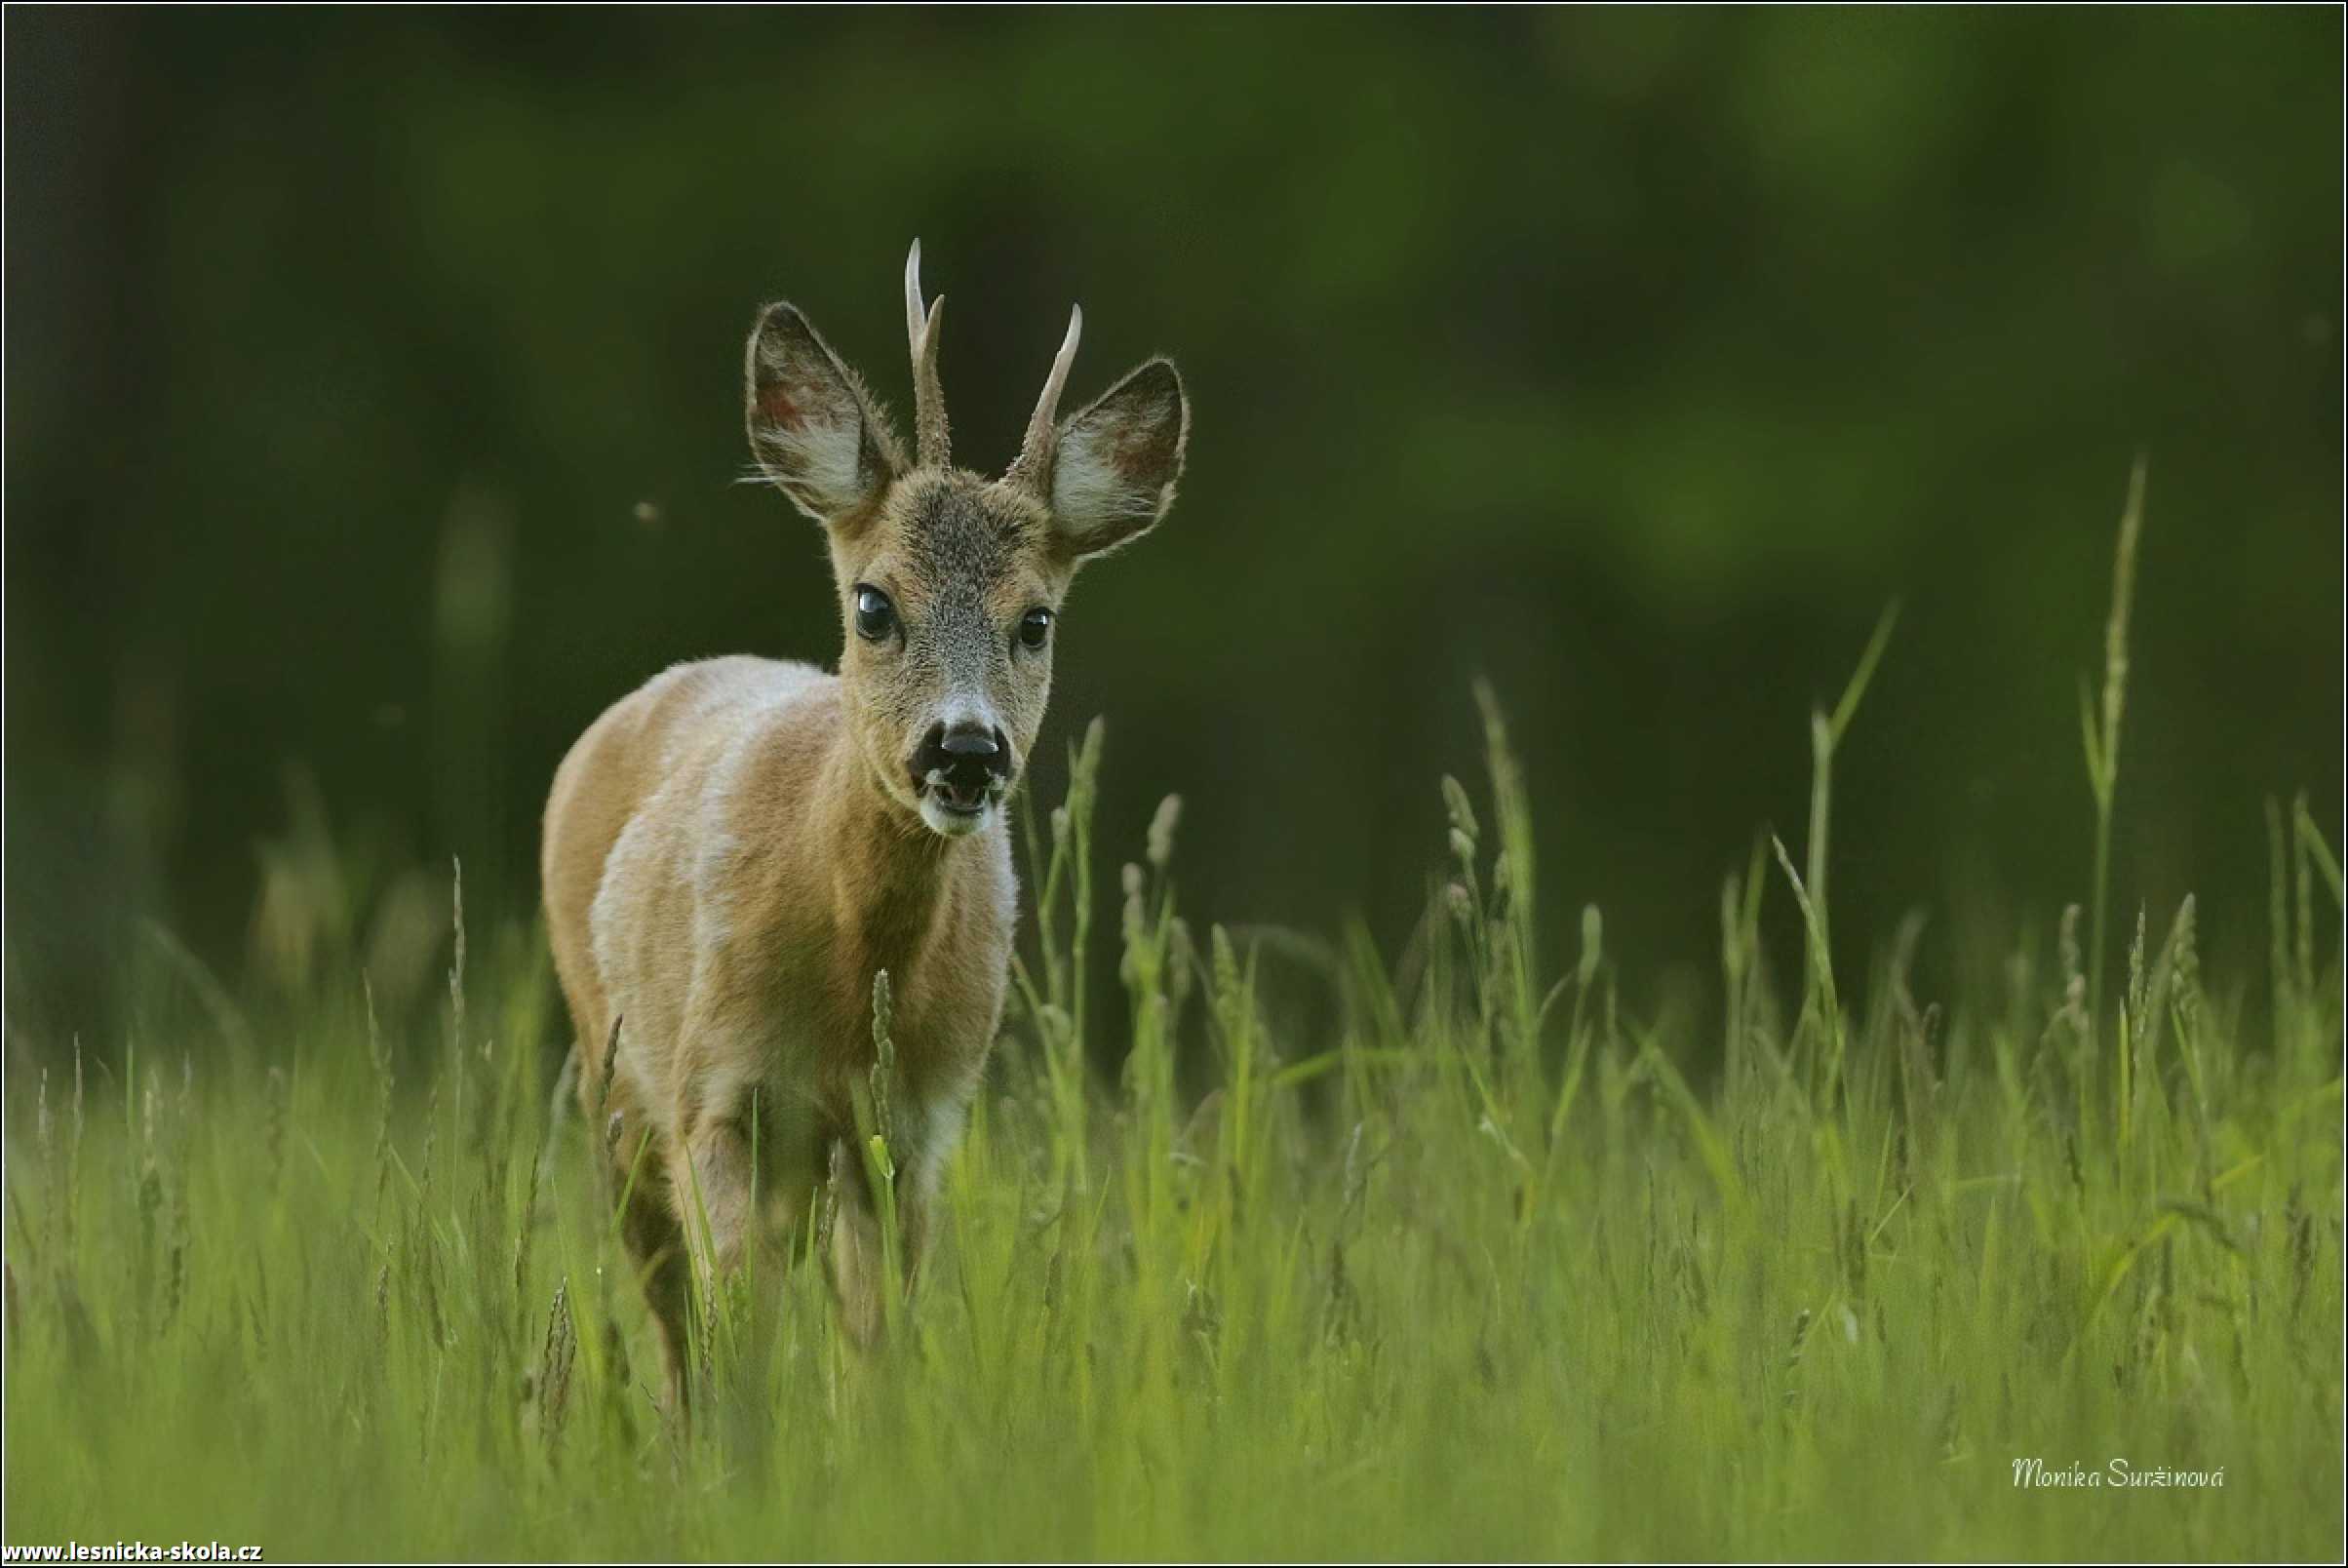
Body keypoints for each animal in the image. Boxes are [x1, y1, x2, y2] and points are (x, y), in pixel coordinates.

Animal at [537, 239, 1183, 1390]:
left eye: (1036, 620)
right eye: (874, 605)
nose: (964, 749)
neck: (849, 979)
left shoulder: (913, 1130)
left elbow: (878, 1360)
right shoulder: (714, 1097)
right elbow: (738, 1344)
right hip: (611, 1081)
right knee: (671, 1331)